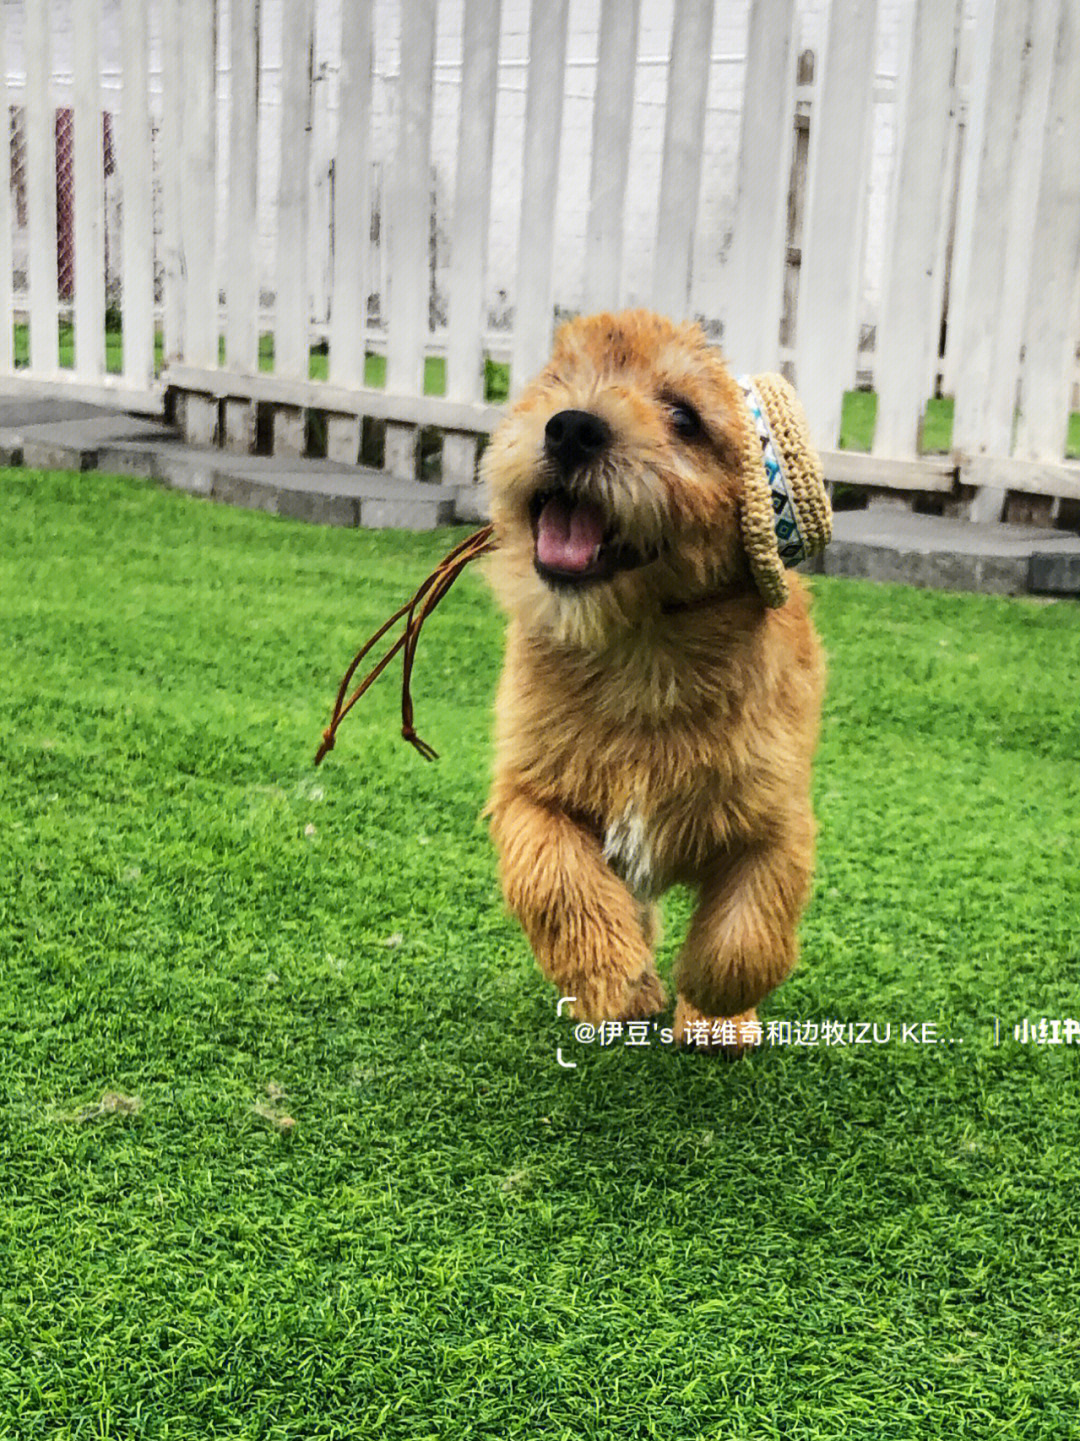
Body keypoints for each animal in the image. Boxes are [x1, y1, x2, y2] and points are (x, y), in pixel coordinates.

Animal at [475, 312, 830, 1049]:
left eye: (685, 417)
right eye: (556, 380)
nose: (571, 426)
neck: (641, 655)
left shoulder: (777, 819)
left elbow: (748, 936)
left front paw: (713, 1002)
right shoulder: (529, 792)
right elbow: (557, 878)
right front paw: (614, 979)